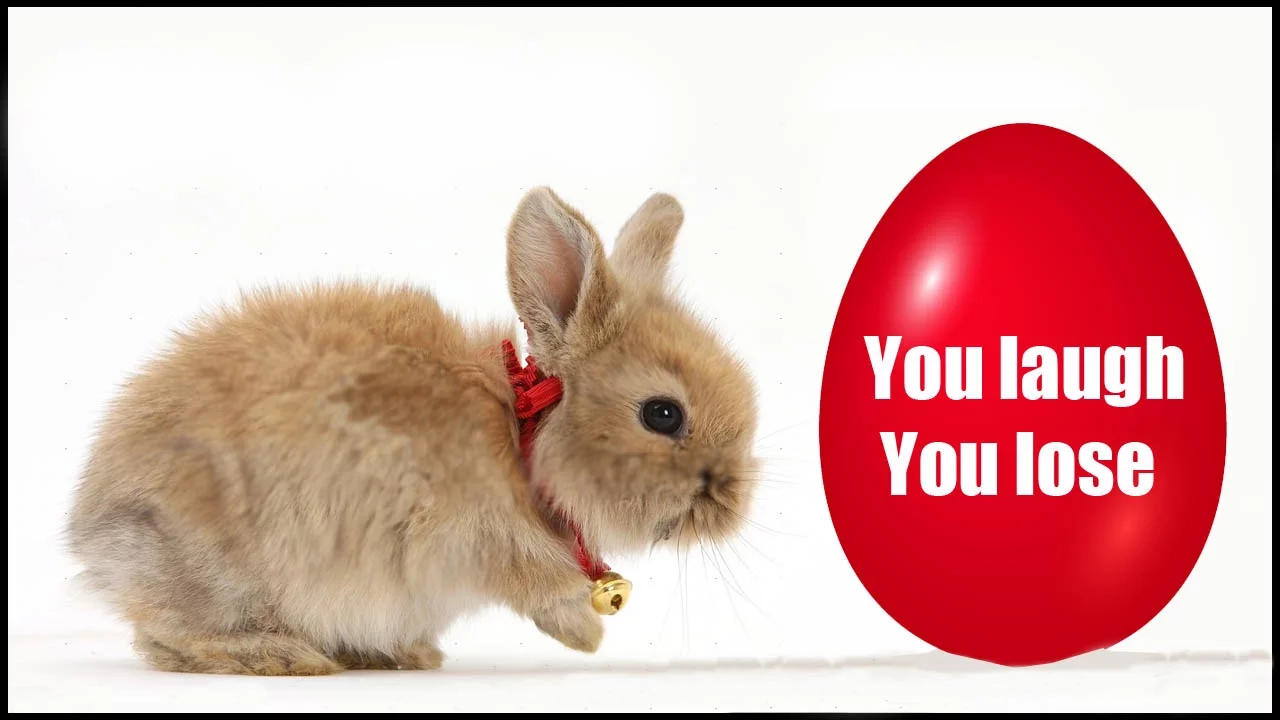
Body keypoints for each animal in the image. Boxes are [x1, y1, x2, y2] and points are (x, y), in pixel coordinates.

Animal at [64, 187, 761, 676]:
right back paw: (287, 656)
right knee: (164, 639)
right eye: (662, 414)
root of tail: (93, 534)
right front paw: (586, 632)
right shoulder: (470, 538)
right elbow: (537, 582)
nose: (734, 506)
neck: (518, 439)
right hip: (226, 573)